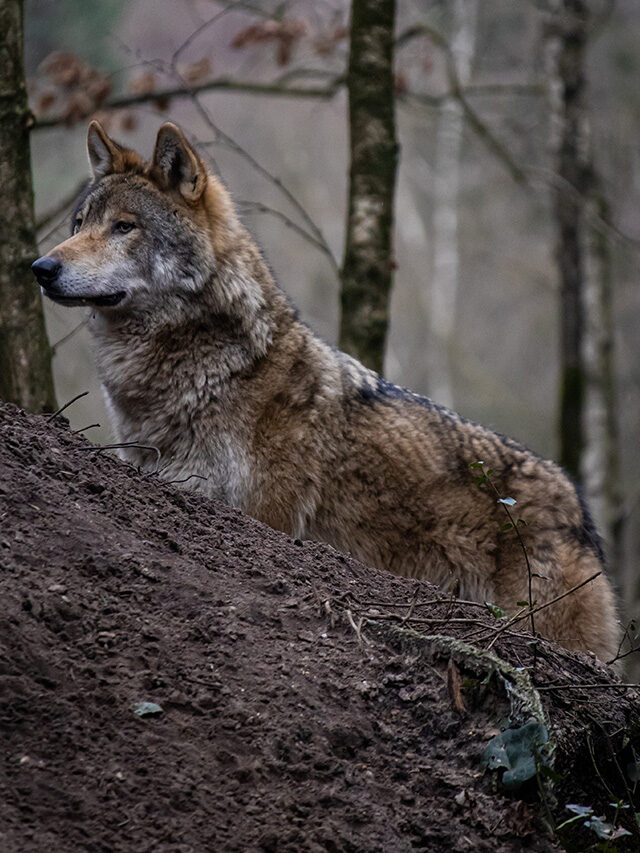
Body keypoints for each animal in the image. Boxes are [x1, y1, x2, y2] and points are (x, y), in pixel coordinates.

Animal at [32, 121, 616, 660]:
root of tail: (579, 508)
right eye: (80, 224)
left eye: (124, 227)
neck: (207, 368)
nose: (40, 267)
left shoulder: (265, 516)